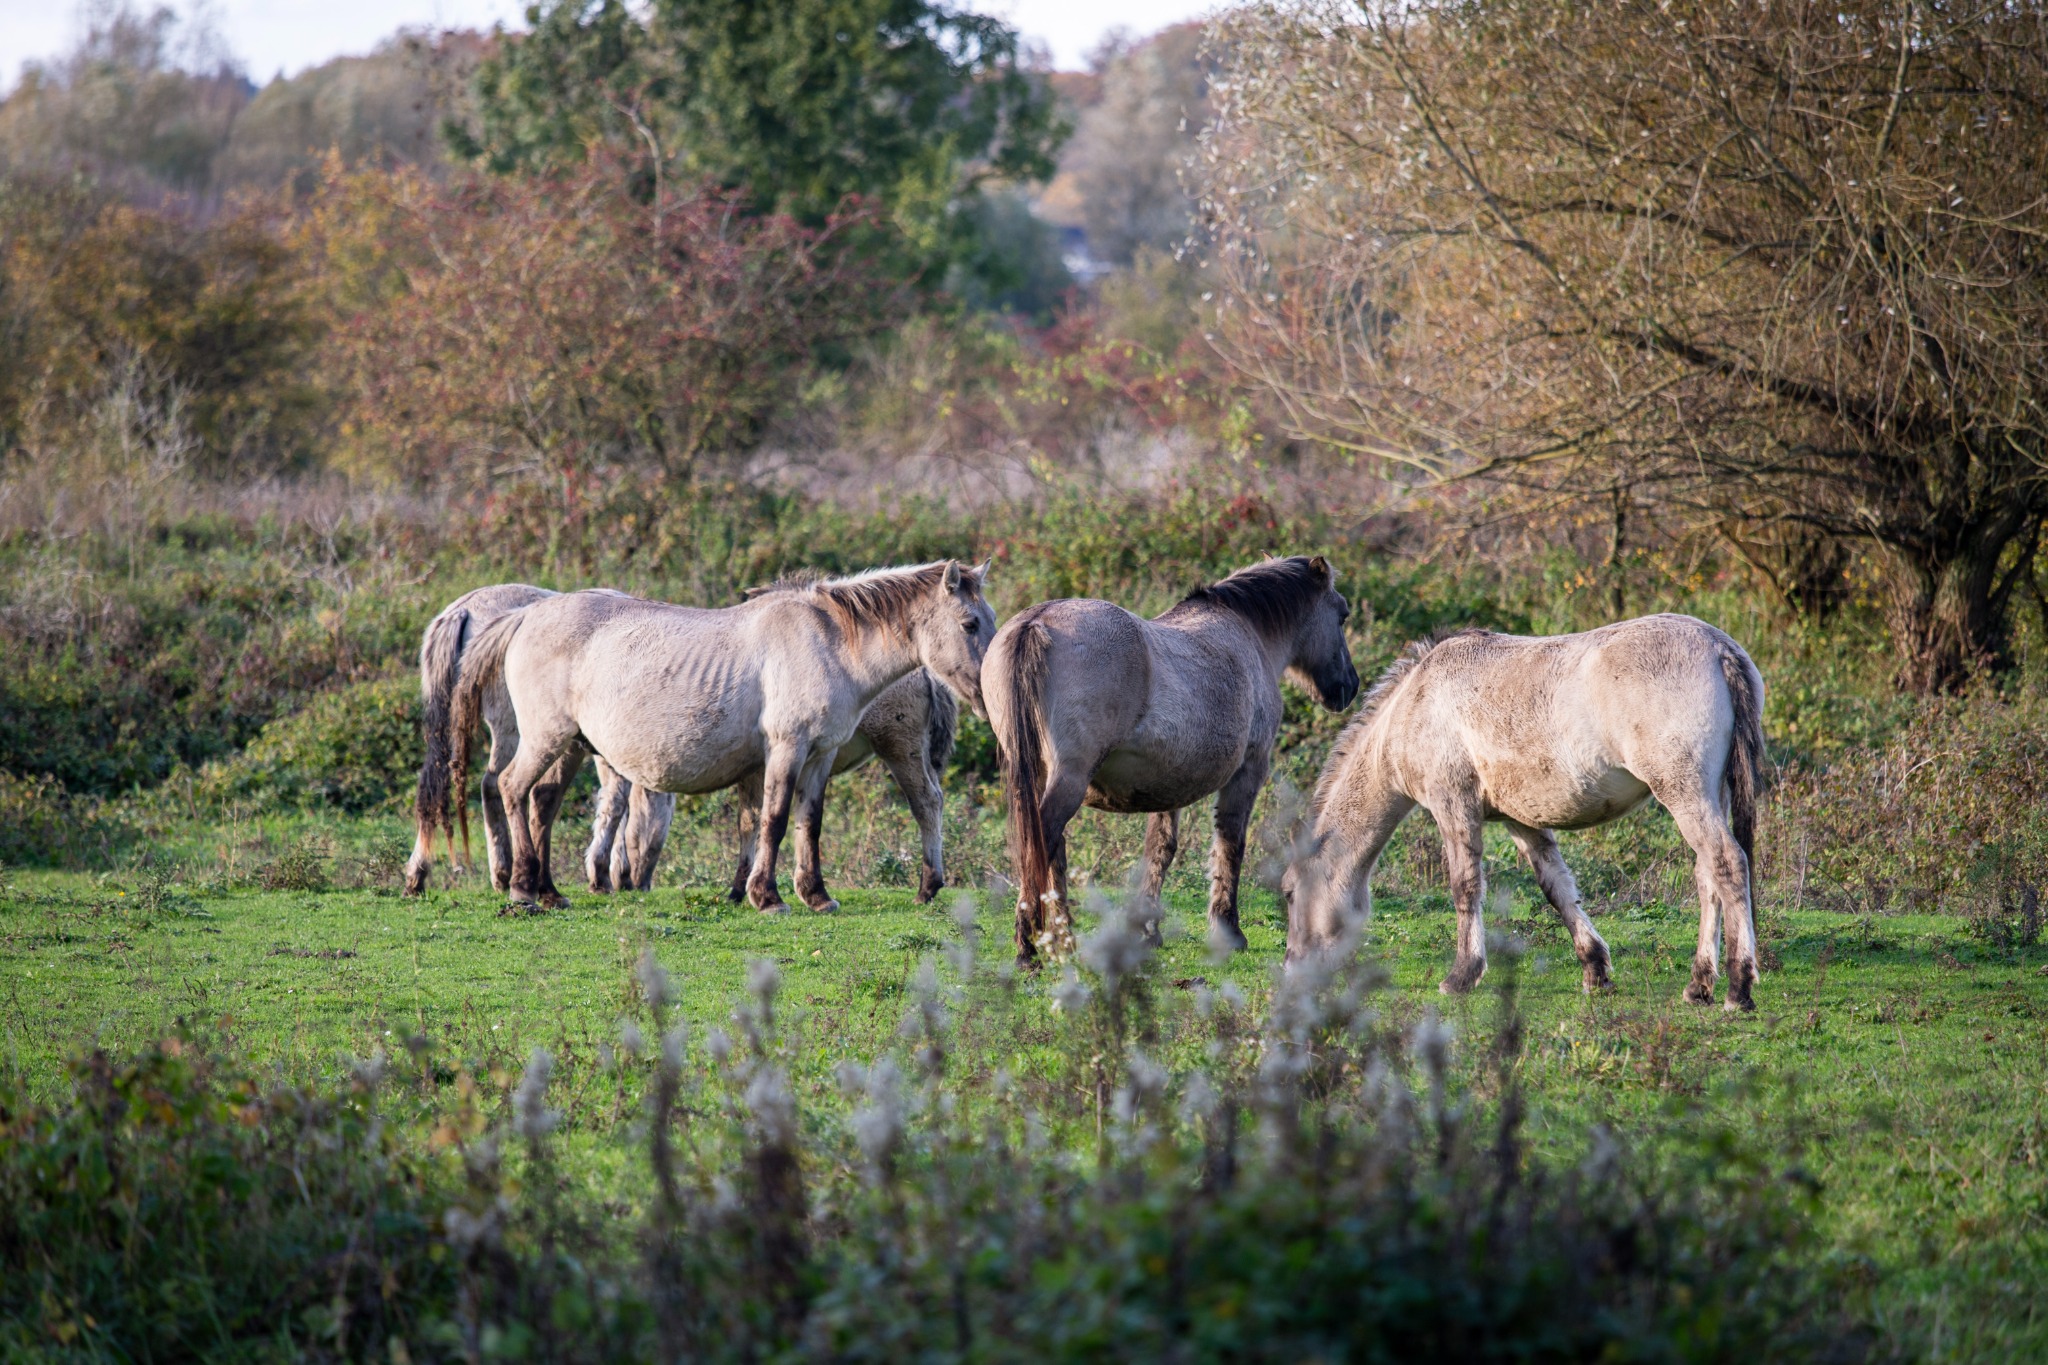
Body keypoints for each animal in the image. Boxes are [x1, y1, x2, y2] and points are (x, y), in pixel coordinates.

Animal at [450, 561, 993, 910]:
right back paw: (522, 888)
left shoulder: (819, 755)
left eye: (988, 621)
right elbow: (774, 820)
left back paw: (549, 892)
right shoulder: (787, 749)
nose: (989, 695)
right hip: (546, 739)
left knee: (542, 802)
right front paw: (767, 897)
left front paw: (816, 895)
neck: (828, 641)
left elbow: (809, 823)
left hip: (570, 748)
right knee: (511, 788)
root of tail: (527, 615)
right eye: (970, 623)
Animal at [984, 555, 1359, 965]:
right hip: (1069, 779)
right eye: (1342, 615)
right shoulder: (1249, 771)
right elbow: (1230, 844)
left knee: (1051, 851)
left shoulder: (1167, 784)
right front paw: (1228, 930)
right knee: (1042, 844)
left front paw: (1148, 929)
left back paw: (1061, 939)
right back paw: (1032, 945)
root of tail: (1036, 621)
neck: (1247, 631)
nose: (1349, 686)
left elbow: (1160, 850)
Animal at [1283, 614, 1766, 1010]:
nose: (1291, 967)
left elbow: (1465, 888)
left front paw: (1462, 976)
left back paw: (1738, 988)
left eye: (1288, 893)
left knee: (1727, 865)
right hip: (1710, 794)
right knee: (1707, 877)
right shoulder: (1521, 821)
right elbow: (1557, 889)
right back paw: (1699, 985)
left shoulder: (1452, 805)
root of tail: (1720, 648)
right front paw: (1595, 970)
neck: (1415, 704)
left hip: (1684, 793)